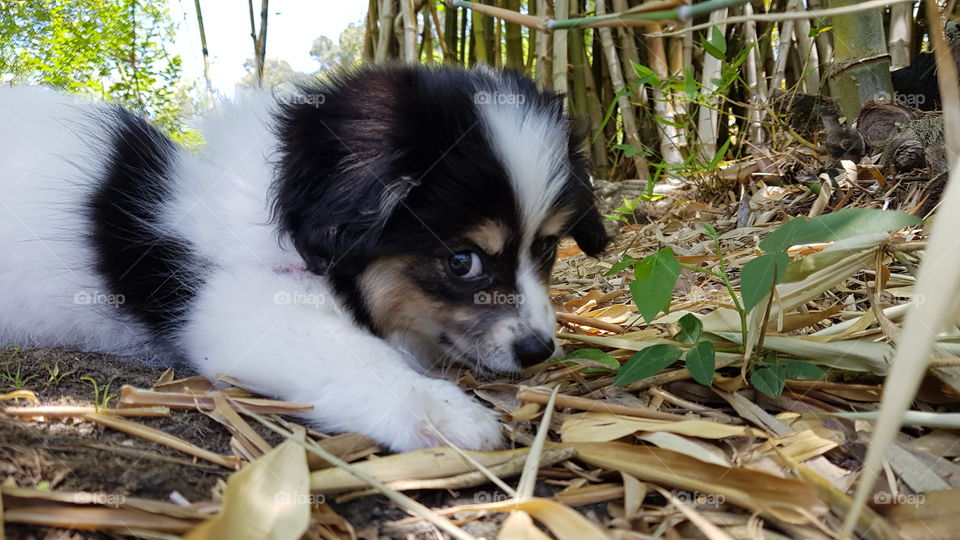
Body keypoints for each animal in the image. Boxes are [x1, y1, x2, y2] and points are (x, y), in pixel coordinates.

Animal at [0, 64, 608, 452]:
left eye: (547, 247)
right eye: (462, 261)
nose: (538, 351)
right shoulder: (239, 305)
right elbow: (357, 357)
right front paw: (438, 410)